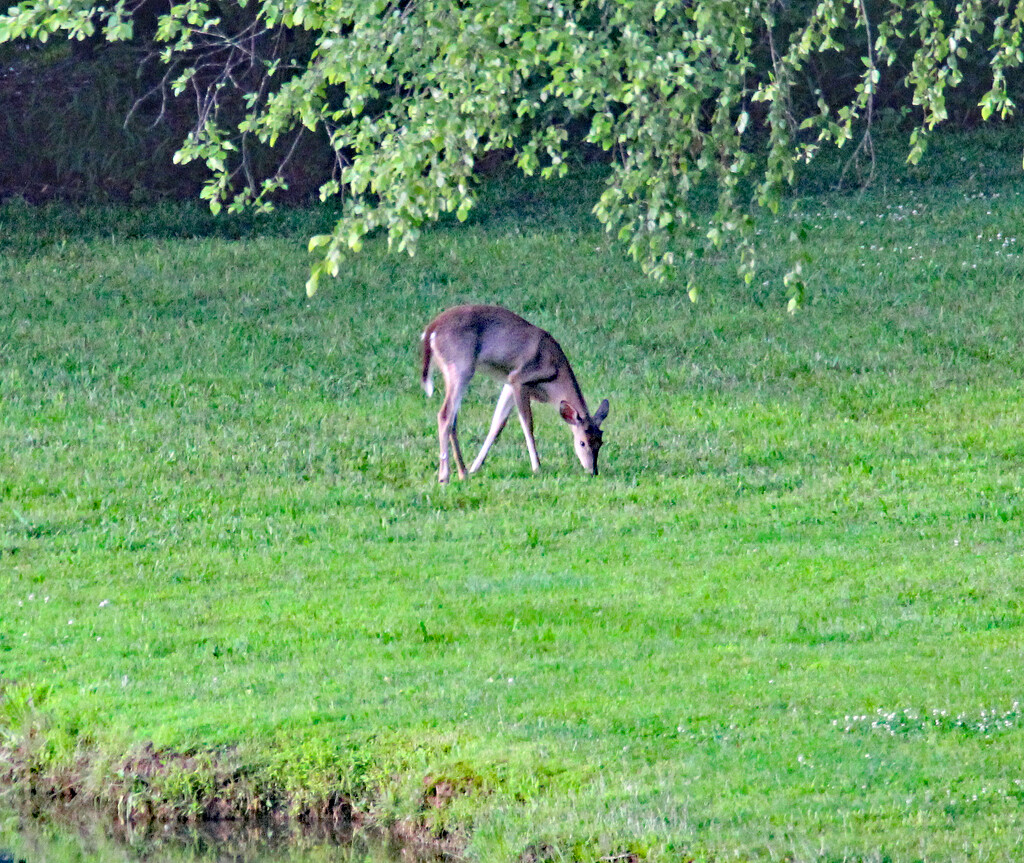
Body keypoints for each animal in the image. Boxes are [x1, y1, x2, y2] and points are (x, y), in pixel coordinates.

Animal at [417, 303, 606, 483]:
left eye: (601, 442)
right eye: (582, 442)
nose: (593, 471)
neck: (554, 377)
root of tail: (431, 330)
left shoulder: (508, 382)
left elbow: (497, 423)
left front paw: (476, 467)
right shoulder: (519, 379)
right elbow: (528, 424)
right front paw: (537, 467)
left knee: (453, 419)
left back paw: (463, 472)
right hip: (461, 366)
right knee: (445, 415)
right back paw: (444, 477)